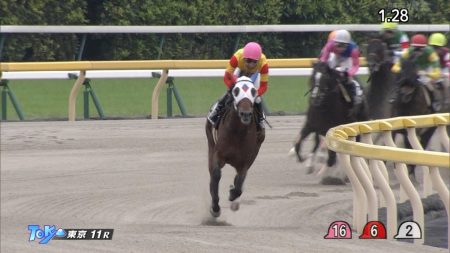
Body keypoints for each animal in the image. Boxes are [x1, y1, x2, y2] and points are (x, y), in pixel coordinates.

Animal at [206, 76, 266, 217]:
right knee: (211, 171)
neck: (238, 132)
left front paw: (233, 194)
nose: (245, 114)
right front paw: (215, 207)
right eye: (236, 91)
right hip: (210, 143)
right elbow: (216, 174)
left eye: (254, 91)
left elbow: (239, 183)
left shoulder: (245, 160)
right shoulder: (219, 154)